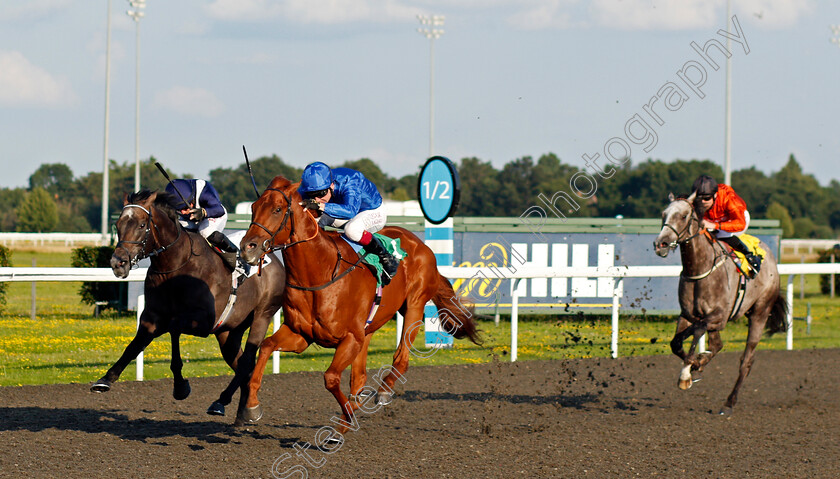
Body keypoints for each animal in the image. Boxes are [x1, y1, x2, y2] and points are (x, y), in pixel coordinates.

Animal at [94, 189, 286, 422]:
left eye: (141, 225)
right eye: (118, 224)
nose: (118, 263)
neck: (176, 265)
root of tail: (273, 260)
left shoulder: (202, 321)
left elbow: (173, 328)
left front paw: (180, 386)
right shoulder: (151, 316)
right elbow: (134, 346)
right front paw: (105, 379)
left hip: (263, 314)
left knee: (248, 361)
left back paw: (221, 403)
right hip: (228, 332)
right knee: (241, 364)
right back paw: (246, 410)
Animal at [236, 177, 480, 432]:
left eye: (277, 209)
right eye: (254, 207)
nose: (247, 247)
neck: (320, 272)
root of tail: (419, 244)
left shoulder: (351, 337)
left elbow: (331, 378)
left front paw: (346, 420)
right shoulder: (301, 335)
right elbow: (266, 346)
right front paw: (251, 407)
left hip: (414, 305)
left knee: (401, 357)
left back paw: (383, 391)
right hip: (369, 326)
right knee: (360, 376)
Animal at [656, 191, 788, 416]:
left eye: (683, 216)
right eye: (664, 214)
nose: (661, 243)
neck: (700, 269)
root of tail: (771, 257)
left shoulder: (719, 316)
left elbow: (696, 331)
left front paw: (688, 371)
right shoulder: (687, 315)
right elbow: (677, 342)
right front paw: (694, 364)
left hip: (760, 312)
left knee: (746, 360)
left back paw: (729, 402)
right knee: (717, 344)